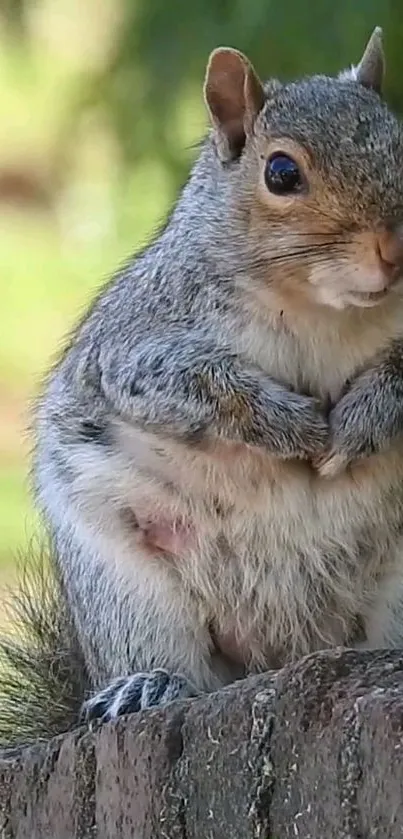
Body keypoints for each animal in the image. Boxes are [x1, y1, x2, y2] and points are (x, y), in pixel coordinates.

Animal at [2, 24, 403, 748]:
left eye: (401, 145)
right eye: (280, 173)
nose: (395, 250)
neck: (320, 309)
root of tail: (283, 653)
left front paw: (360, 420)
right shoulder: (135, 342)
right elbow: (196, 383)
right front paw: (296, 426)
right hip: (125, 591)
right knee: (158, 654)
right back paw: (144, 686)